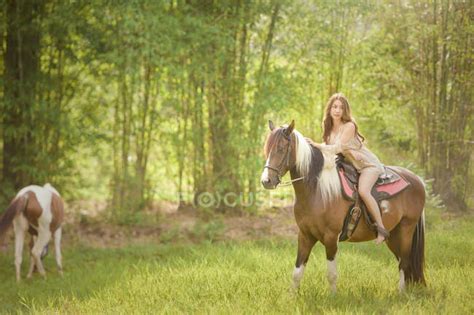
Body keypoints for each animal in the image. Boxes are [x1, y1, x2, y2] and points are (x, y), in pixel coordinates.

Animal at [260, 121, 426, 294]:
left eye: (281, 148)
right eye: (266, 148)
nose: (266, 181)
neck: (317, 190)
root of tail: (417, 179)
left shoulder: (331, 237)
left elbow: (331, 274)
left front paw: (333, 296)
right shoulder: (305, 235)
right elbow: (297, 272)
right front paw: (292, 296)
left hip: (406, 230)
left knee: (404, 261)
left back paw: (401, 293)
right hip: (393, 235)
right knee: (402, 261)